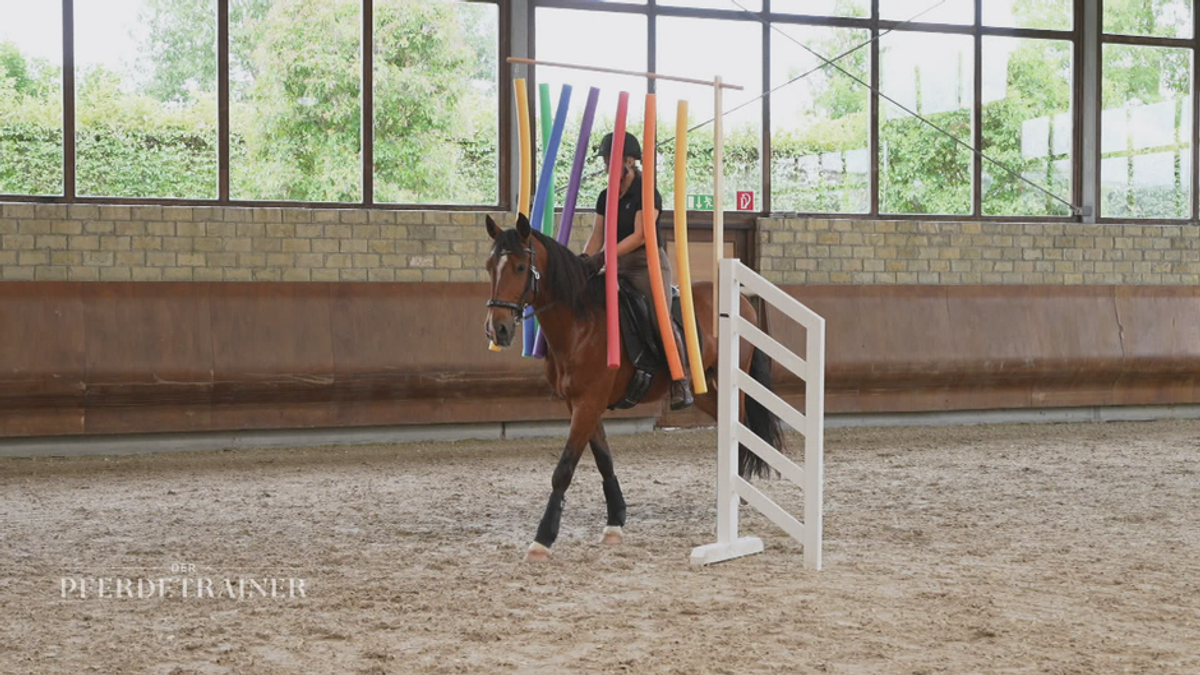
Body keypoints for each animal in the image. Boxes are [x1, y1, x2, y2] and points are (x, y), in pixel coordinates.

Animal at [482, 212, 782, 559]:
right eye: (490, 266)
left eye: (520, 267)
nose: (498, 329)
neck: (580, 323)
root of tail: (744, 303)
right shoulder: (581, 403)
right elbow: (604, 460)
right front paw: (615, 521)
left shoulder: (589, 402)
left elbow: (564, 469)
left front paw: (543, 538)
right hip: (704, 388)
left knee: (741, 425)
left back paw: (739, 491)